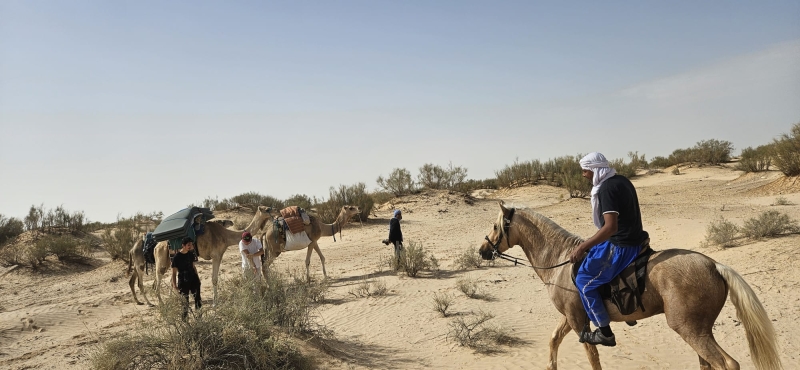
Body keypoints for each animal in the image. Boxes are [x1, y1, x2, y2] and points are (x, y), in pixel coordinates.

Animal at [478, 204, 780, 370]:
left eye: (495, 225)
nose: (482, 250)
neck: (561, 259)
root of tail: (714, 265)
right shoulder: (572, 316)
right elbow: (553, 340)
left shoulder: (579, 321)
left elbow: (593, 357)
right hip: (700, 330)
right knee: (707, 363)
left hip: (690, 329)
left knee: (726, 363)